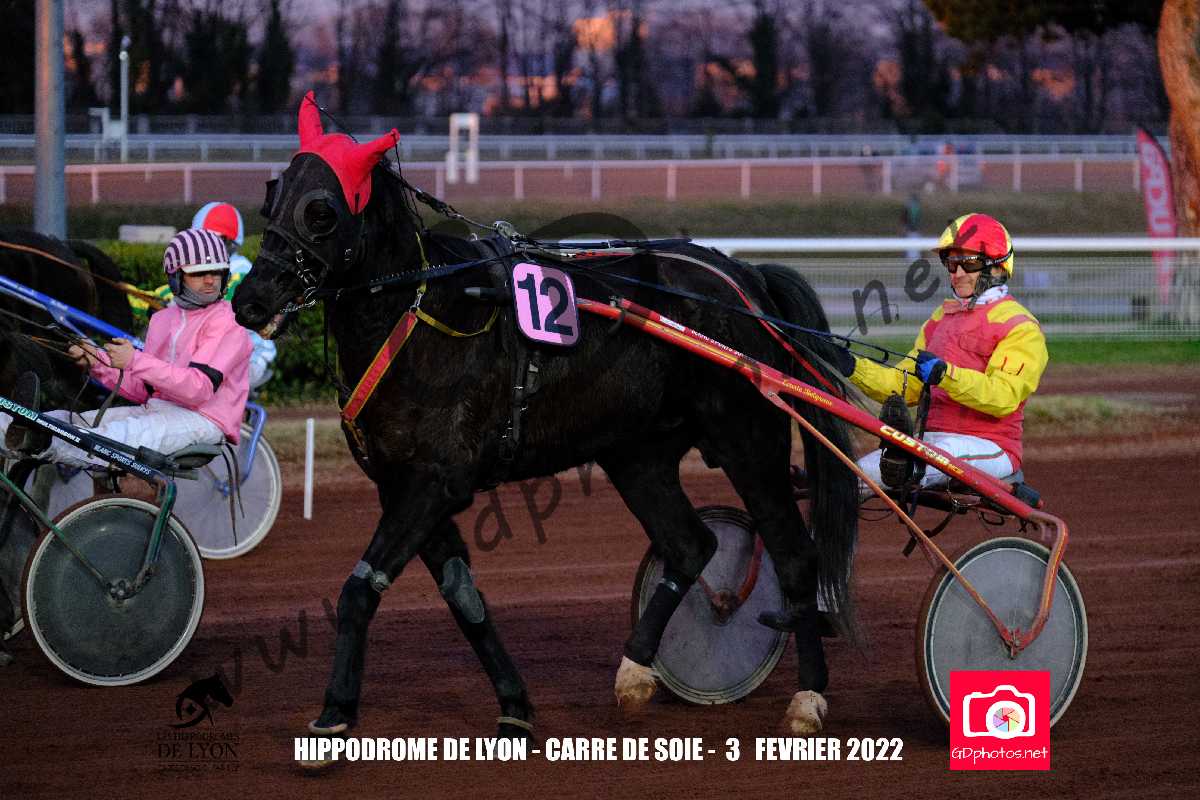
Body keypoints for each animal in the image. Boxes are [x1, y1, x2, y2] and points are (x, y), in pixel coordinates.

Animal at [232, 94, 859, 748]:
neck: (418, 316)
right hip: (637, 453)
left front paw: (334, 711)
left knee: (795, 557)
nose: (249, 300)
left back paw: (808, 698)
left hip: (747, 441)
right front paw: (514, 703)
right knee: (690, 545)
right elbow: (463, 598)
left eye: (322, 211)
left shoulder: (437, 482)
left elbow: (360, 589)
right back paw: (635, 672)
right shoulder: (401, 484)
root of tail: (746, 282)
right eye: (271, 197)